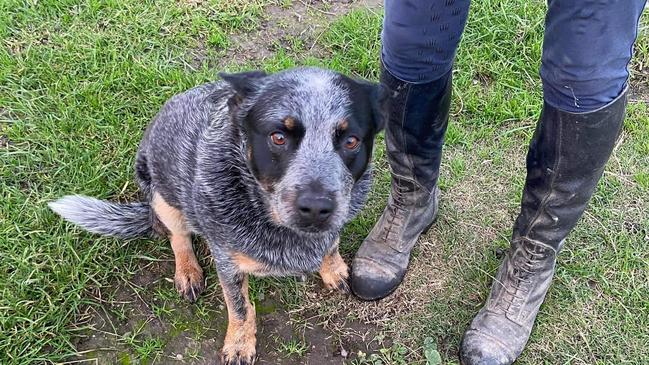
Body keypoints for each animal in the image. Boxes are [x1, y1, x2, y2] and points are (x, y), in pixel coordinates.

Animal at [52, 66, 384, 362]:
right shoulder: (227, 261)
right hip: (162, 198)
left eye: (351, 140)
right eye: (278, 137)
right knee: (178, 237)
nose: (316, 207)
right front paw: (239, 345)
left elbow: (332, 243)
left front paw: (334, 268)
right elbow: (240, 308)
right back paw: (187, 272)